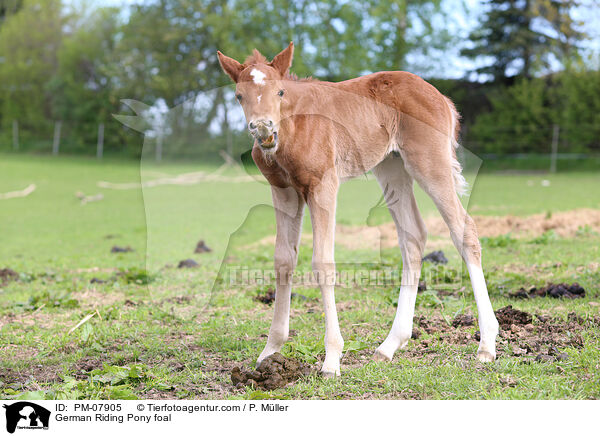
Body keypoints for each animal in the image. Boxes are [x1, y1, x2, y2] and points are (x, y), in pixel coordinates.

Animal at [218, 42, 500, 376]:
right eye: (239, 95)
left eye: (280, 92)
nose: (264, 129)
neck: (295, 124)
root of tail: (440, 97)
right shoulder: (283, 190)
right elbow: (283, 261)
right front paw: (270, 352)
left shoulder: (323, 185)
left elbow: (323, 263)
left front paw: (331, 359)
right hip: (392, 168)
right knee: (413, 237)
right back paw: (389, 346)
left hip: (430, 163)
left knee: (464, 231)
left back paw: (487, 345)